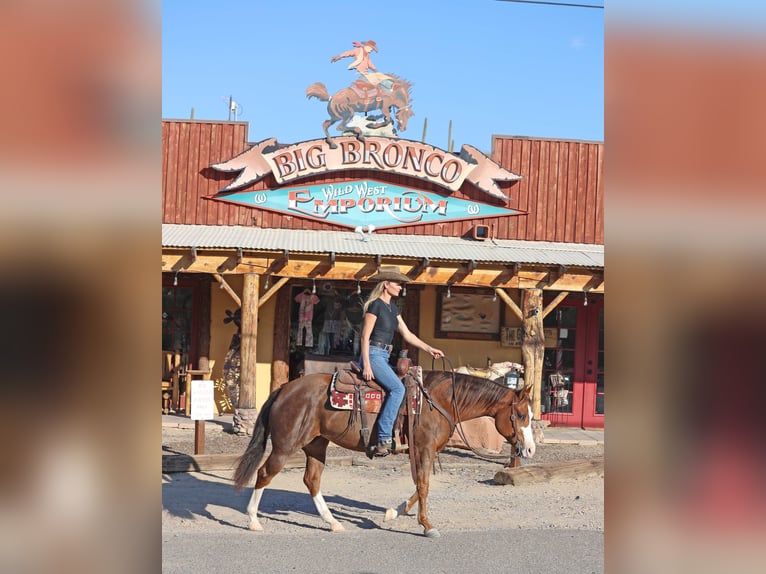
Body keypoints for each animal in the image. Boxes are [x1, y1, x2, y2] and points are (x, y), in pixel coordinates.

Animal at [231, 368, 536, 540]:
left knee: (311, 480)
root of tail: (285, 388)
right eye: (521, 415)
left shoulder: (422, 451)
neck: (438, 401)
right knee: (264, 473)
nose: (531, 449)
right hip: (286, 445)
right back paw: (253, 520)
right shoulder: (424, 448)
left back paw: (333, 523)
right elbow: (424, 486)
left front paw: (394, 512)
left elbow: (419, 485)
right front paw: (427, 525)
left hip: (317, 444)